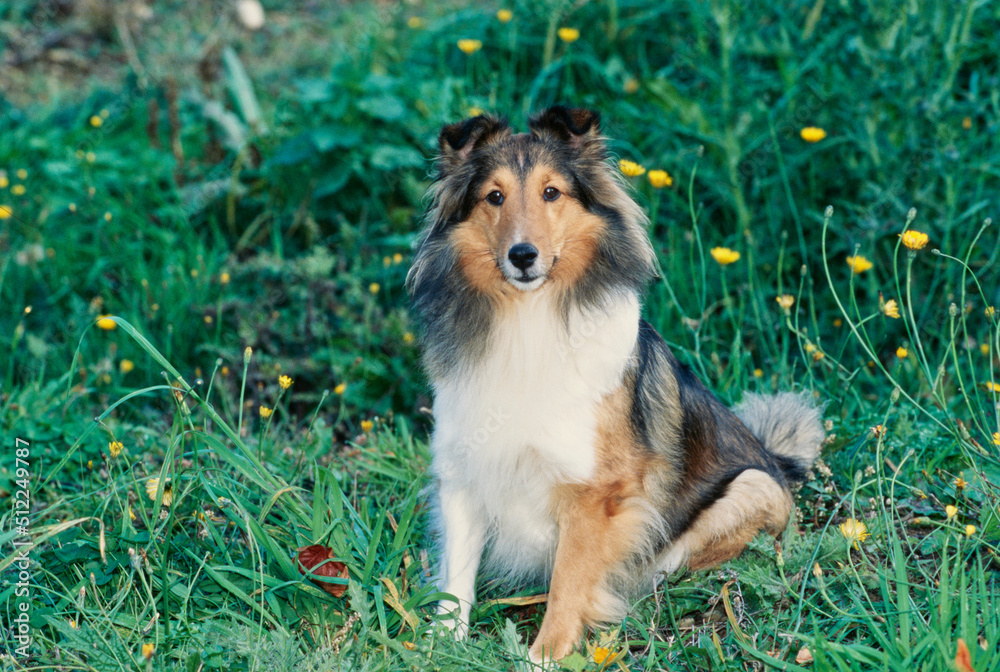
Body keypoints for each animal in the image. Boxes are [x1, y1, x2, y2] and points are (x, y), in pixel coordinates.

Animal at [404, 105, 820, 660]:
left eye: (551, 192)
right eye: (494, 197)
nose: (522, 255)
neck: (528, 318)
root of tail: (776, 458)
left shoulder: (592, 492)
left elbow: (568, 580)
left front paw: (545, 657)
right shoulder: (464, 468)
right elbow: (456, 576)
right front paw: (442, 645)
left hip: (750, 490)